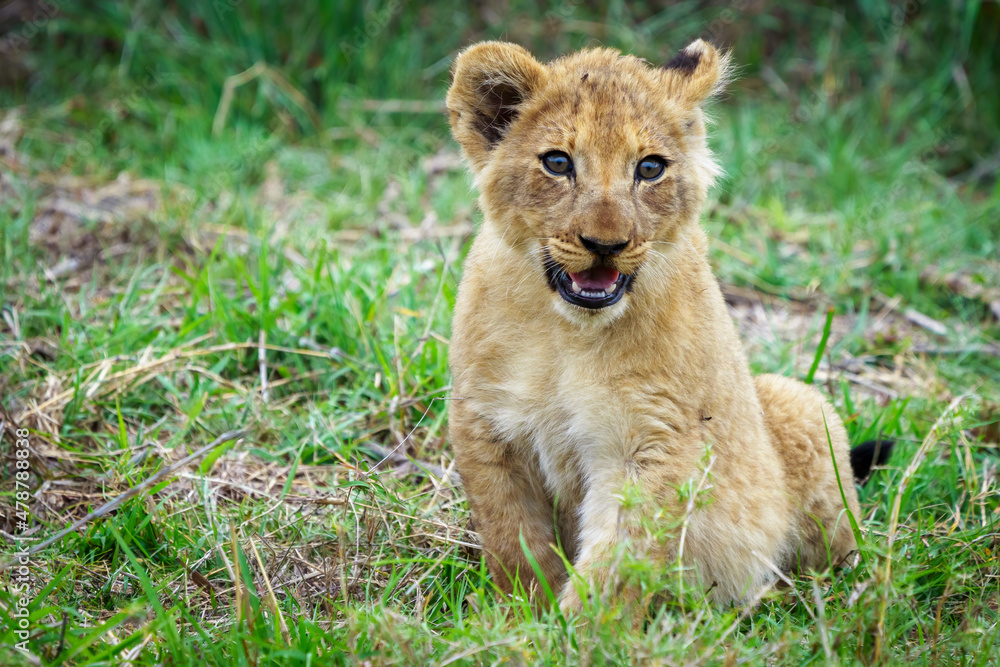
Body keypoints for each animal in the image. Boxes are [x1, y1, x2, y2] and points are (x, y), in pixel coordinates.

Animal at [444, 39, 889, 615]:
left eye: (650, 167)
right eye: (558, 162)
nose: (605, 244)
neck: (567, 331)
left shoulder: (656, 439)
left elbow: (619, 560)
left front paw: (576, 630)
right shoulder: (485, 422)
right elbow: (513, 538)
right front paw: (521, 617)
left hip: (803, 406)